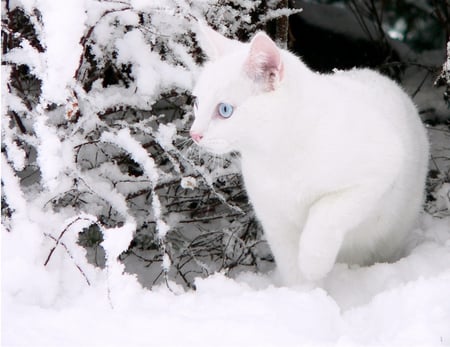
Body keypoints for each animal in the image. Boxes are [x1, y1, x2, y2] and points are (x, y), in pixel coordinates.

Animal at [189, 23, 428, 286]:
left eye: (224, 110)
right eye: (197, 103)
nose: (194, 134)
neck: (278, 156)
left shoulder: (382, 165)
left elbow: (325, 212)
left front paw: (313, 262)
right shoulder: (275, 221)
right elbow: (293, 269)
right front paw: (305, 294)